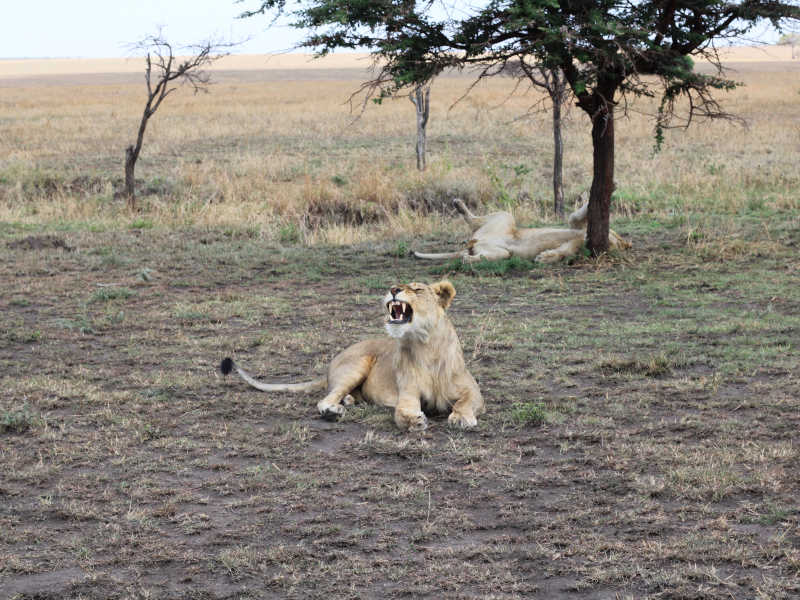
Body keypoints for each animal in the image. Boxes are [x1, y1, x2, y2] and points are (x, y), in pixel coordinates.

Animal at [217, 282, 482, 432]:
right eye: (400, 285)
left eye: (417, 289)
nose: (393, 290)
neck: (427, 346)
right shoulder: (407, 394)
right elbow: (401, 412)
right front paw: (413, 421)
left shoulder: (474, 391)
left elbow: (465, 401)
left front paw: (460, 418)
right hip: (357, 364)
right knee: (325, 399)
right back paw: (334, 409)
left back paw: (349, 400)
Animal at [412, 197, 632, 262]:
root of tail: (474, 242)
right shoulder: (578, 229)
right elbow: (574, 218)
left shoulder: (578, 244)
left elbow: (564, 251)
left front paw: (544, 257)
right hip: (505, 217)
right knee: (474, 220)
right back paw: (458, 204)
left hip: (502, 251)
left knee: (472, 256)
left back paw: (468, 257)